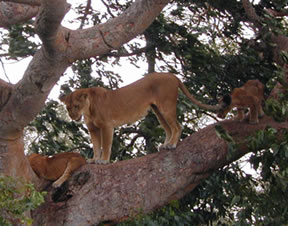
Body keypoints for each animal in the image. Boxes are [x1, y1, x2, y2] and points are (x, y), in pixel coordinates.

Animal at [59, 72, 223, 164]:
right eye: (68, 108)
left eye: (76, 106)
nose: (72, 116)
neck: (89, 109)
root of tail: (172, 75)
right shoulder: (93, 129)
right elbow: (95, 145)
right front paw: (93, 160)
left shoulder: (107, 126)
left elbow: (105, 145)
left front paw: (103, 161)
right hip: (158, 111)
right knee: (169, 128)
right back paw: (165, 145)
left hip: (166, 106)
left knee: (177, 126)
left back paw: (171, 145)